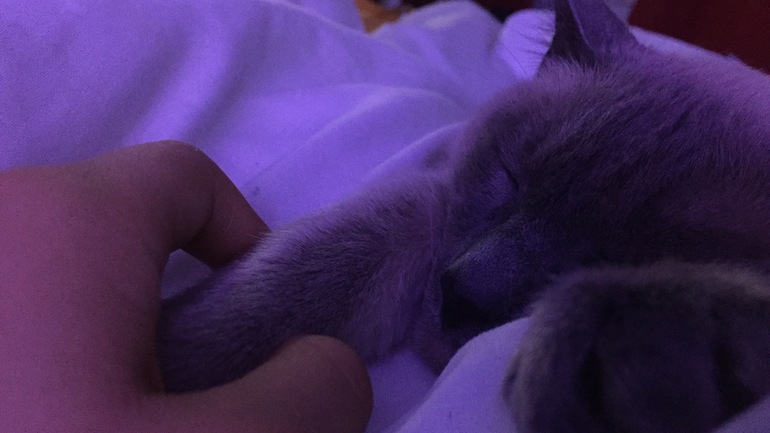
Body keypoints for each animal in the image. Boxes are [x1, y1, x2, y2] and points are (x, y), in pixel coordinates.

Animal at [158, 0, 770, 432]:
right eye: (510, 177)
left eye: (620, 255)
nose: (463, 293)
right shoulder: (431, 203)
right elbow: (295, 277)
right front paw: (172, 368)